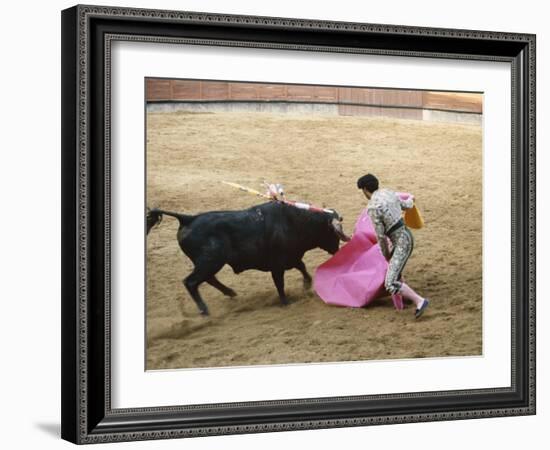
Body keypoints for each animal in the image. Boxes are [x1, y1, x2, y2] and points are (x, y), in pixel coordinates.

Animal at [147, 202, 352, 314]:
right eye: (333, 232)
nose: (338, 250)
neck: (296, 221)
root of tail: (188, 218)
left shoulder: (291, 257)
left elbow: (302, 267)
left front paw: (306, 285)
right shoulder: (277, 265)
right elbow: (280, 284)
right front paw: (286, 302)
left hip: (208, 263)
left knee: (207, 279)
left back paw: (230, 293)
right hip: (210, 261)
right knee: (191, 282)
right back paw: (204, 310)